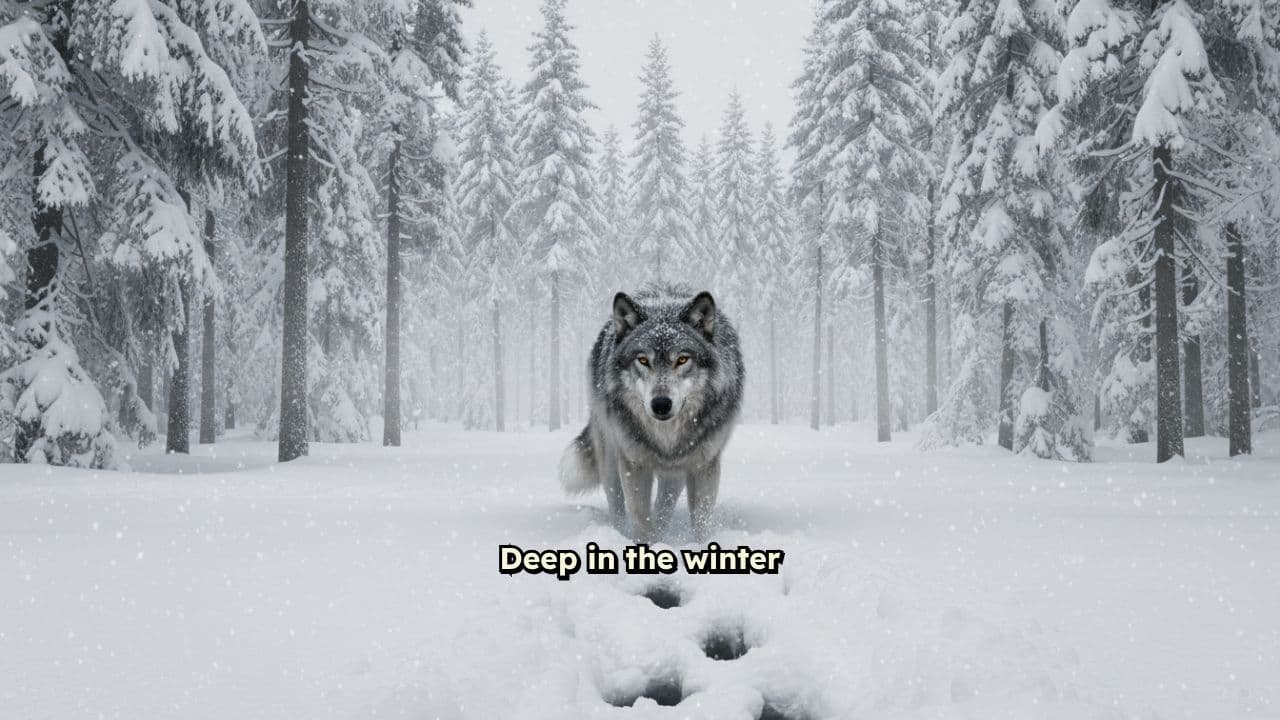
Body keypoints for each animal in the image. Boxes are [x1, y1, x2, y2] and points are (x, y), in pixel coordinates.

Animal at [559, 285, 744, 540]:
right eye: (643, 360)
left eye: (682, 359)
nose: (661, 404)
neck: (666, 438)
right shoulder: (634, 465)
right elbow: (640, 518)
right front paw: (643, 543)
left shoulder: (704, 465)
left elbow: (701, 520)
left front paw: (699, 544)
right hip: (610, 458)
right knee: (617, 505)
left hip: (674, 474)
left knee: (664, 505)